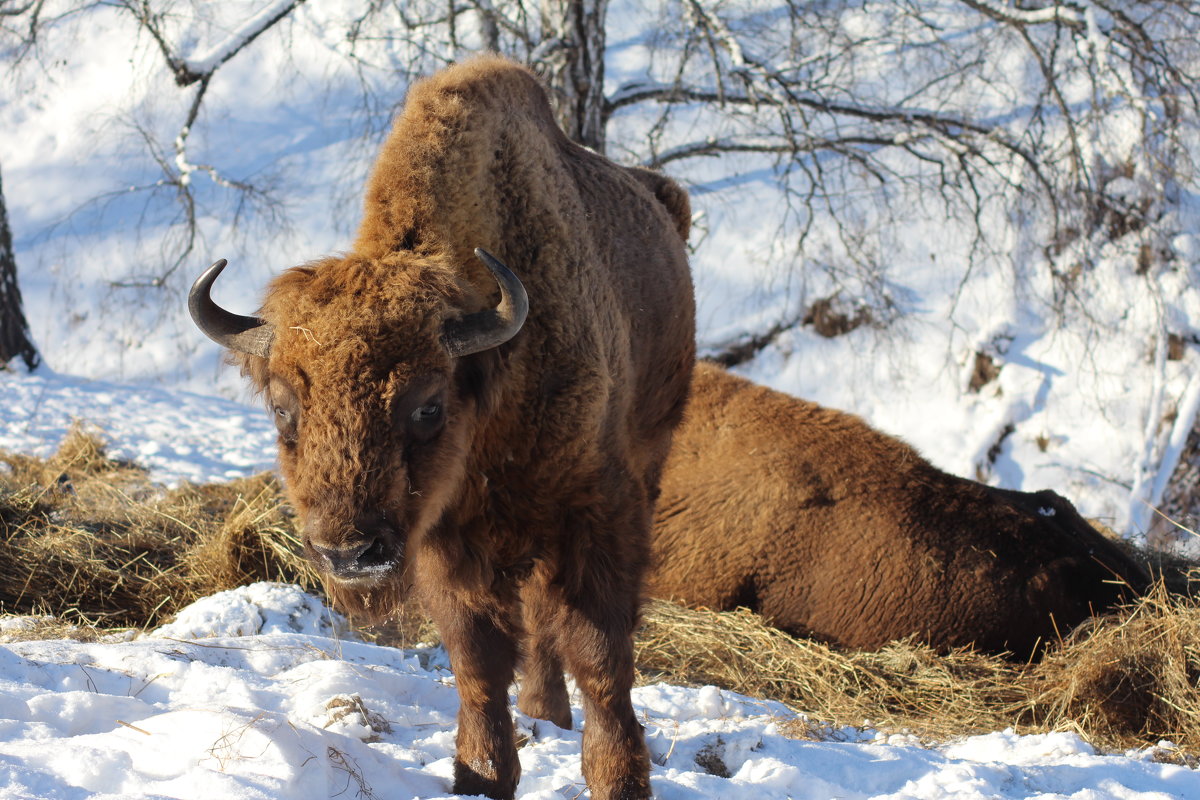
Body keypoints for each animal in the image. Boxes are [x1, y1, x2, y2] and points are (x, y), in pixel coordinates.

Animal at [187, 59, 696, 800]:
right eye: (284, 409)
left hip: (649, 452)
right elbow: (478, 664)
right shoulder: (445, 544)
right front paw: (480, 774)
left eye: (427, 406)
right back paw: (544, 713)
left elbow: (602, 657)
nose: (350, 554)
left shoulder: (595, 510)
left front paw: (618, 779)